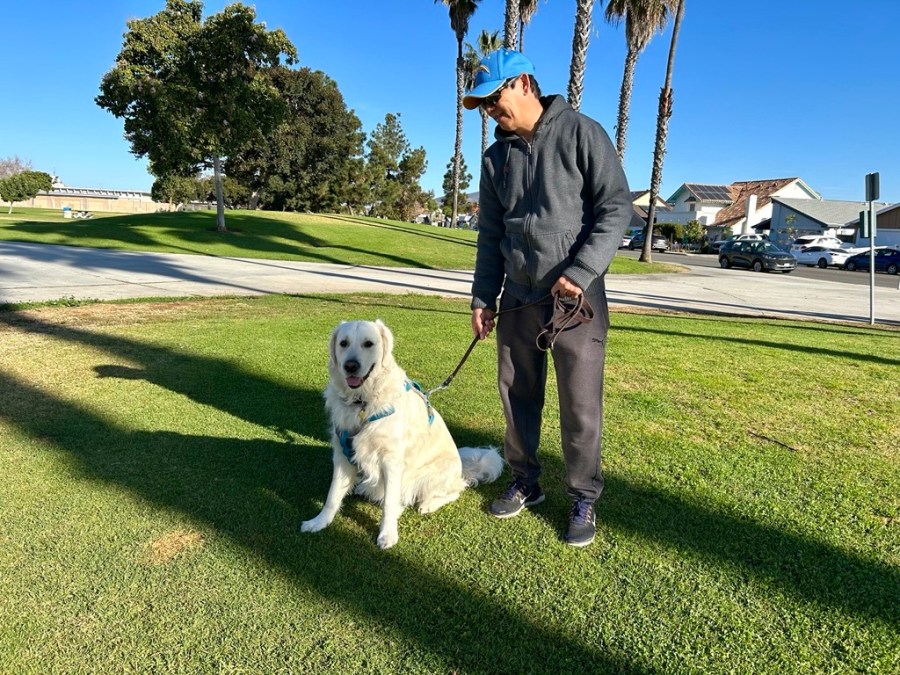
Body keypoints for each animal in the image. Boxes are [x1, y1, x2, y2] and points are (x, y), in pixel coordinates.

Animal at [298, 318, 502, 548]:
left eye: (368, 343)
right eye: (343, 343)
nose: (350, 366)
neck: (362, 402)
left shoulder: (391, 460)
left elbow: (389, 502)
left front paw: (387, 534)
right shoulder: (342, 453)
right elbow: (332, 495)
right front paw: (319, 522)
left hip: (432, 474)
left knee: (458, 488)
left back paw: (428, 504)